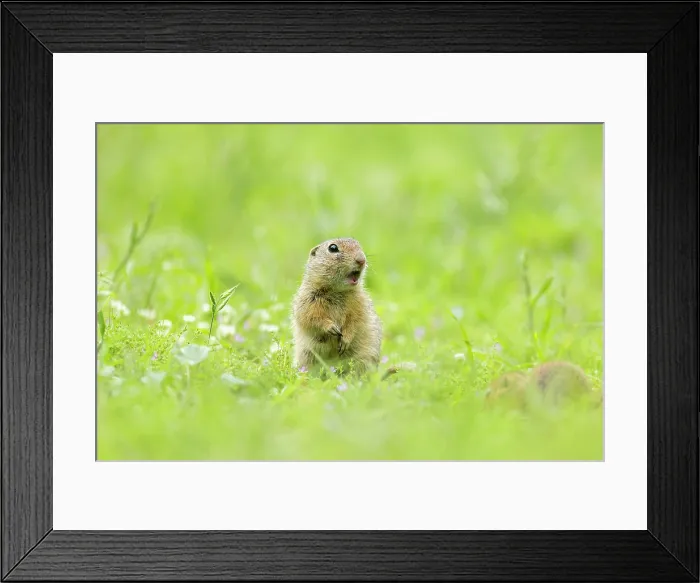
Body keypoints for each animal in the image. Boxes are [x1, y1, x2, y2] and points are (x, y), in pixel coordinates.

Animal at [291, 237, 382, 376]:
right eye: (333, 248)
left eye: (358, 244)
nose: (361, 260)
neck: (337, 291)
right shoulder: (307, 300)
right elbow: (310, 317)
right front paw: (331, 328)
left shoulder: (360, 304)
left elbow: (356, 321)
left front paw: (345, 339)